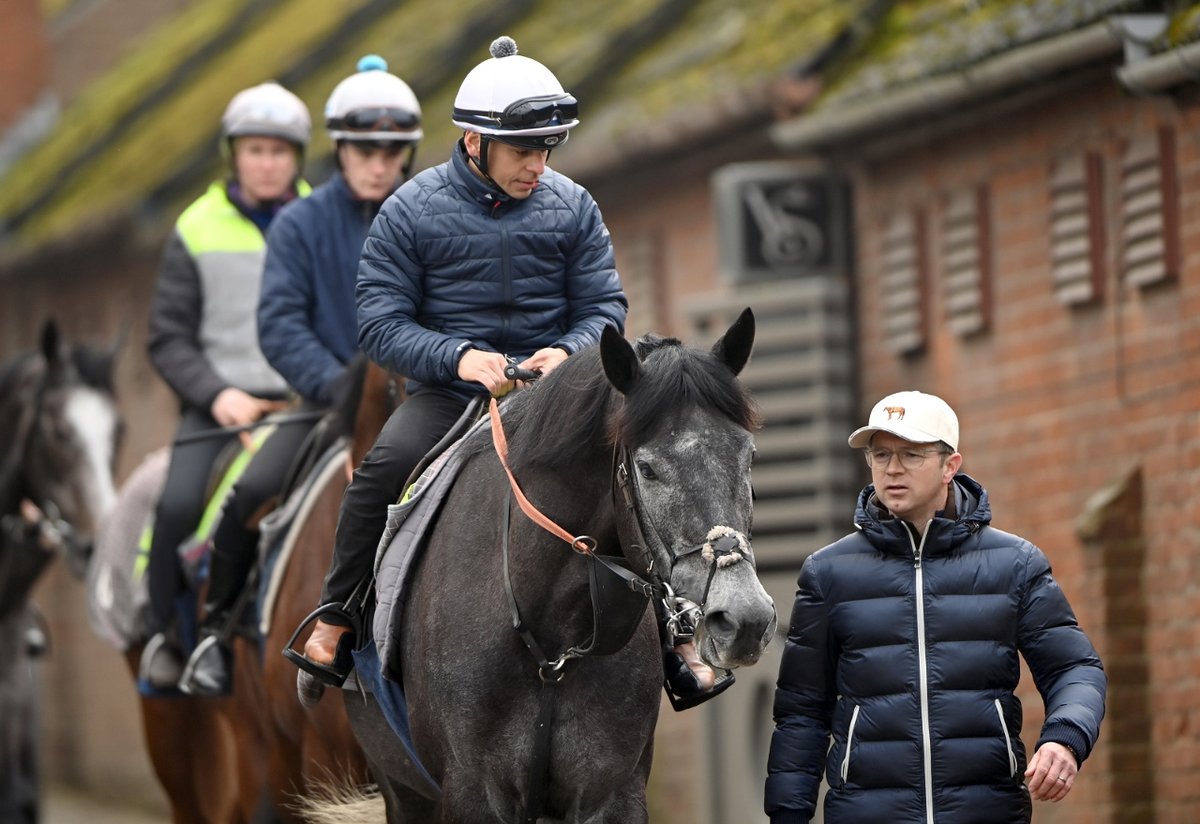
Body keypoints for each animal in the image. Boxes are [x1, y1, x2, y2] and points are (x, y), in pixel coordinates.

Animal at [314, 311, 777, 824]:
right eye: (648, 469)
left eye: (748, 456)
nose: (744, 619)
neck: (550, 640)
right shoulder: (472, 793)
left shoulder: (611, 794)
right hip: (403, 791)